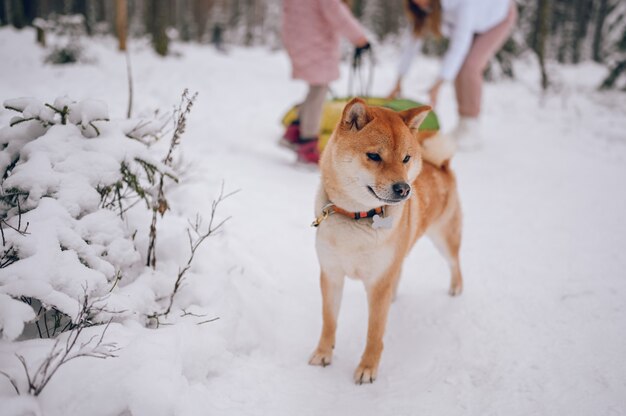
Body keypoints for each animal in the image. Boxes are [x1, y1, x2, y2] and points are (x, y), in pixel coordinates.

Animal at [310, 97, 460, 384]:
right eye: (374, 156)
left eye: (405, 158)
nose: (404, 189)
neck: (356, 216)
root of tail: (441, 166)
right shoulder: (331, 274)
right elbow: (328, 320)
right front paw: (323, 353)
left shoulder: (378, 282)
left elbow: (374, 332)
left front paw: (367, 368)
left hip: (444, 237)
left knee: (455, 263)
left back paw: (456, 288)